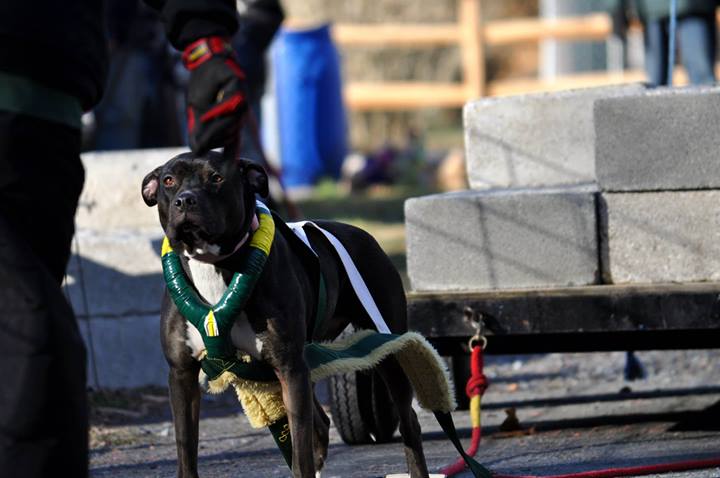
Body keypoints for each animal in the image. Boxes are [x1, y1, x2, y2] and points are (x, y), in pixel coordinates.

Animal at [143, 151, 430, 476]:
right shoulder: (182, 374)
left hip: (384, 348)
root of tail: (363, 234)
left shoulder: (289, 368)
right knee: (320, 425)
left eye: (216, 177)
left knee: (408, 423)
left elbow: (300, 450)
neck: (212, 264)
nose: (185, 200)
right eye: (169, 180)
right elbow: (185, 449)